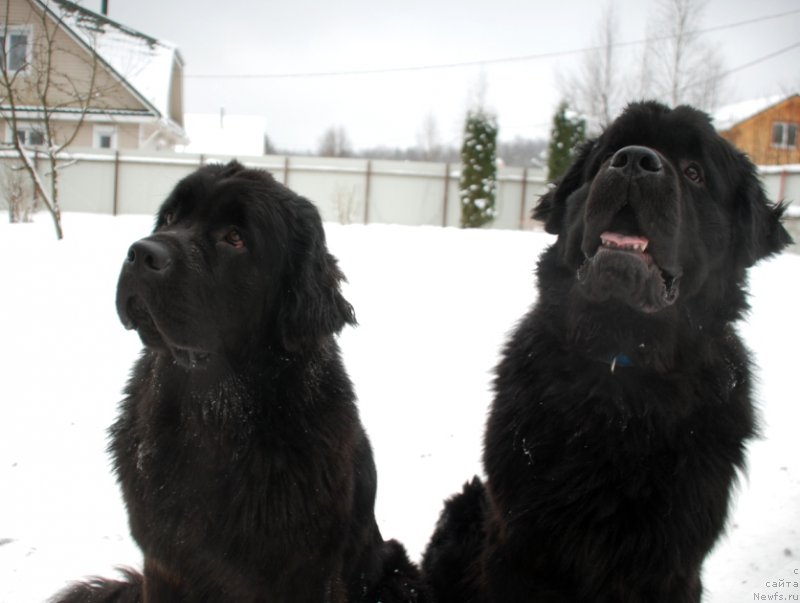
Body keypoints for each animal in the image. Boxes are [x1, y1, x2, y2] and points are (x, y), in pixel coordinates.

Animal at [53, 160, 428, 603]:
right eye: (170, 217)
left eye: (235, 238)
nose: (141, 253)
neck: (212, 416)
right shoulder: (164, 565)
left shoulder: (309, 577)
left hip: (397, 573)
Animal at [422, 101, 792, 600]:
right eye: (610, 154)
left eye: (694, 172)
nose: (635, 160)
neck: (621, 370)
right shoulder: (519, 545)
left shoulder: (671, 563)